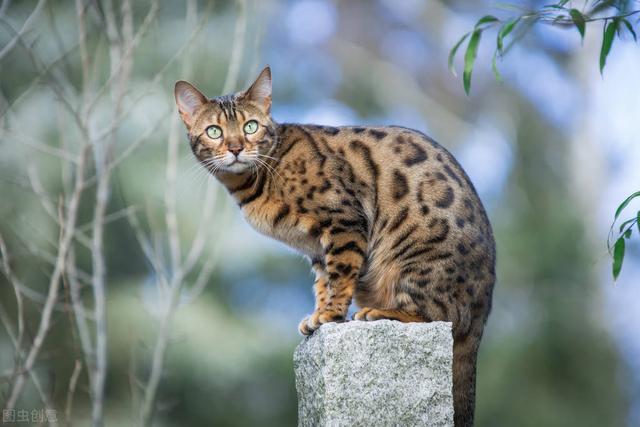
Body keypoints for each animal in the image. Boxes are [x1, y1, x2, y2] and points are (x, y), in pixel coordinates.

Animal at [174, 67, 496, 427]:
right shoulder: (316, 247)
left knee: (440, 317)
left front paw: (330, 314)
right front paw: (318, 314)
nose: (235, 148)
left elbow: (340, 275)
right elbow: (322, 282)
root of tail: (483, 313)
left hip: (414, 263)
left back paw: (380, 312)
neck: (254, 181)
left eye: (250, 126)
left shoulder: (344, 221)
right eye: (214, 131)